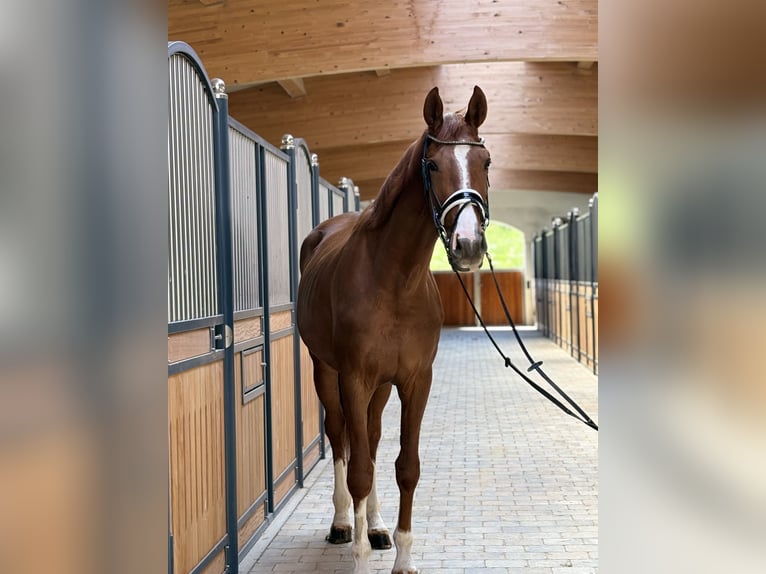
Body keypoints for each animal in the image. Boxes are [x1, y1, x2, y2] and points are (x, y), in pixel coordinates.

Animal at [297, 86, 491, 574]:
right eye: (433, 165)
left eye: (485, 162)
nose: (468, 245)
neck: (395, 282)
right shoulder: (353, 377)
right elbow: (360, 468)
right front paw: (360, 557)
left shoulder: (415, 380)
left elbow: (406, 466)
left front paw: (401, 556)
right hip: (326, 371)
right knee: (342, 438)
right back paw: (344, 524)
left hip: (381, 386)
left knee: (371, 437)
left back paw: (376, 526)